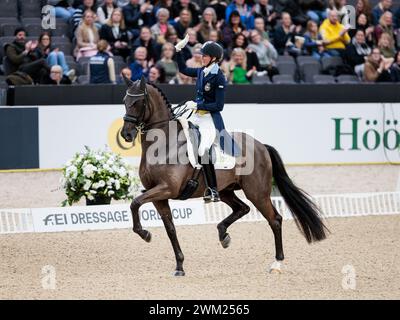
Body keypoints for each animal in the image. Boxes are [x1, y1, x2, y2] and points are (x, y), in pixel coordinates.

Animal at [120, 77, 326, 276]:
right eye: (124, 101)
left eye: (137, 102)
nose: (126, 134)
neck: (164, 144)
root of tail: (261, 145)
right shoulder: (159, 195)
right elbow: (169, 228)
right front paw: (179, 266)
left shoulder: (166, 189)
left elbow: (135, 203)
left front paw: (144, 234)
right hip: (226, 190)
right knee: (243, 208)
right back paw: (223, 235)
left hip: (257, 193)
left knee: (274, 219)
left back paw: (276, 264)